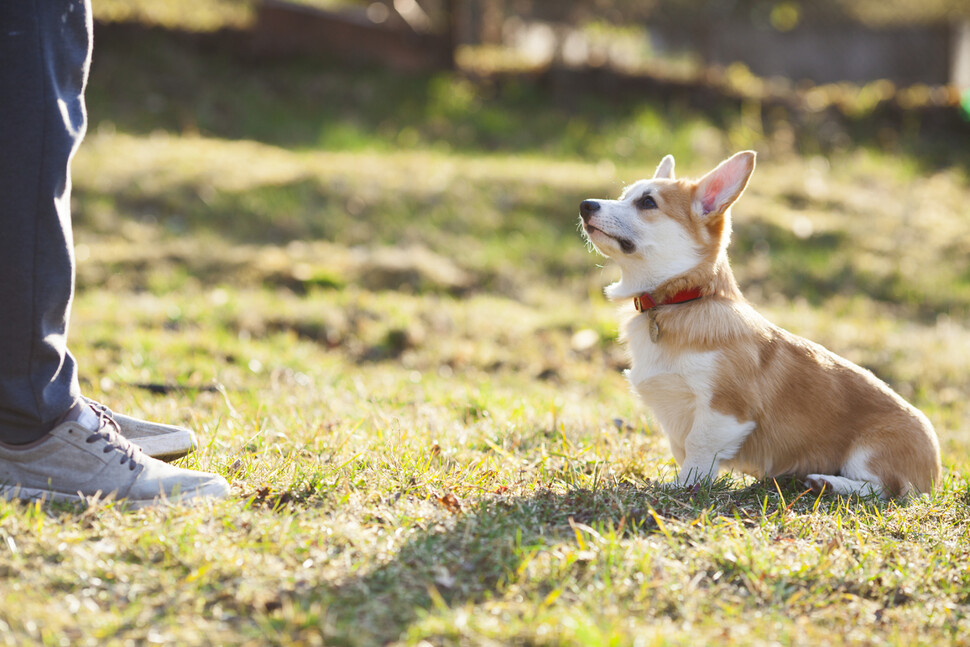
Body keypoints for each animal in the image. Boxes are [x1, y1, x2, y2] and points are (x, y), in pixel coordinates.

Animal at [584, 153, 936, 502]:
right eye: (624, 195)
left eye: (647, 202)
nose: (585, 204)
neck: (680, 301)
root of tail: (935, 471)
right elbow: (681, 448)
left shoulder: (724, 409)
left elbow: (698, 447)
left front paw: (682, 486)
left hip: (870, 451)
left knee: (885, 489)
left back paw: (828, 483)